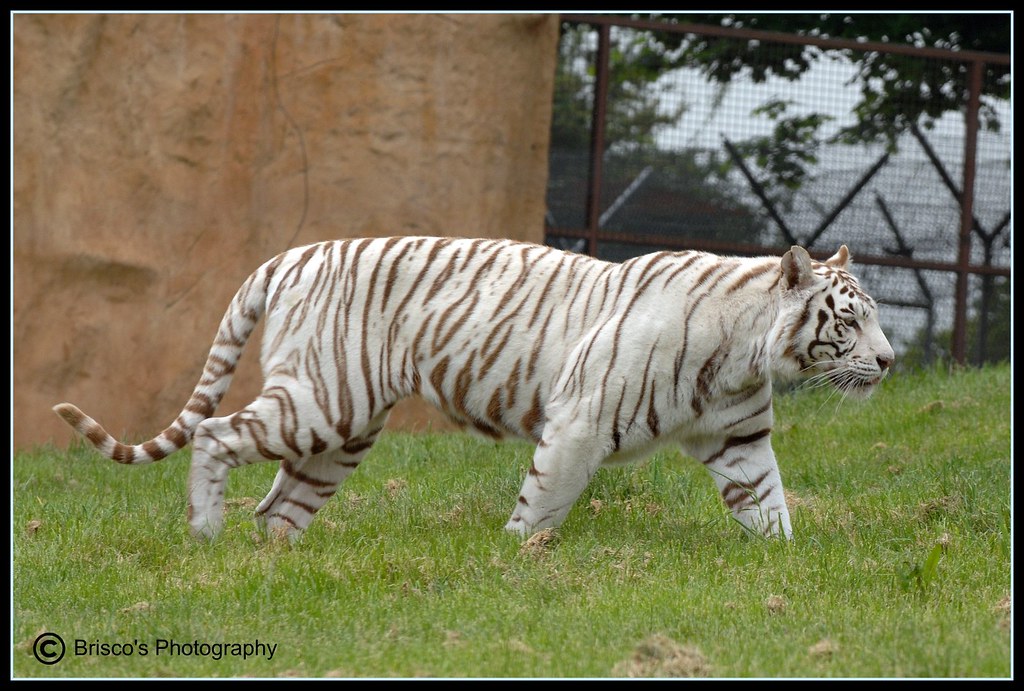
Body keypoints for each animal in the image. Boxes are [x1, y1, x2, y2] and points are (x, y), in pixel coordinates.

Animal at [53, 237, 894, 542]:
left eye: (875, 318)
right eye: (850, 320)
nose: (888, 361)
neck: (749, 350)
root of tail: (292, 253)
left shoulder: (739, 436)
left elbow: (771, 504)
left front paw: (786, 565)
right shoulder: (581, 422)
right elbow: (545, 498)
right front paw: (517, 556)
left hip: (343, 426)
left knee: (279, 505)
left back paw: (276, 559)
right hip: (325, 396)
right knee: (213, 432)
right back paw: (204, 531)